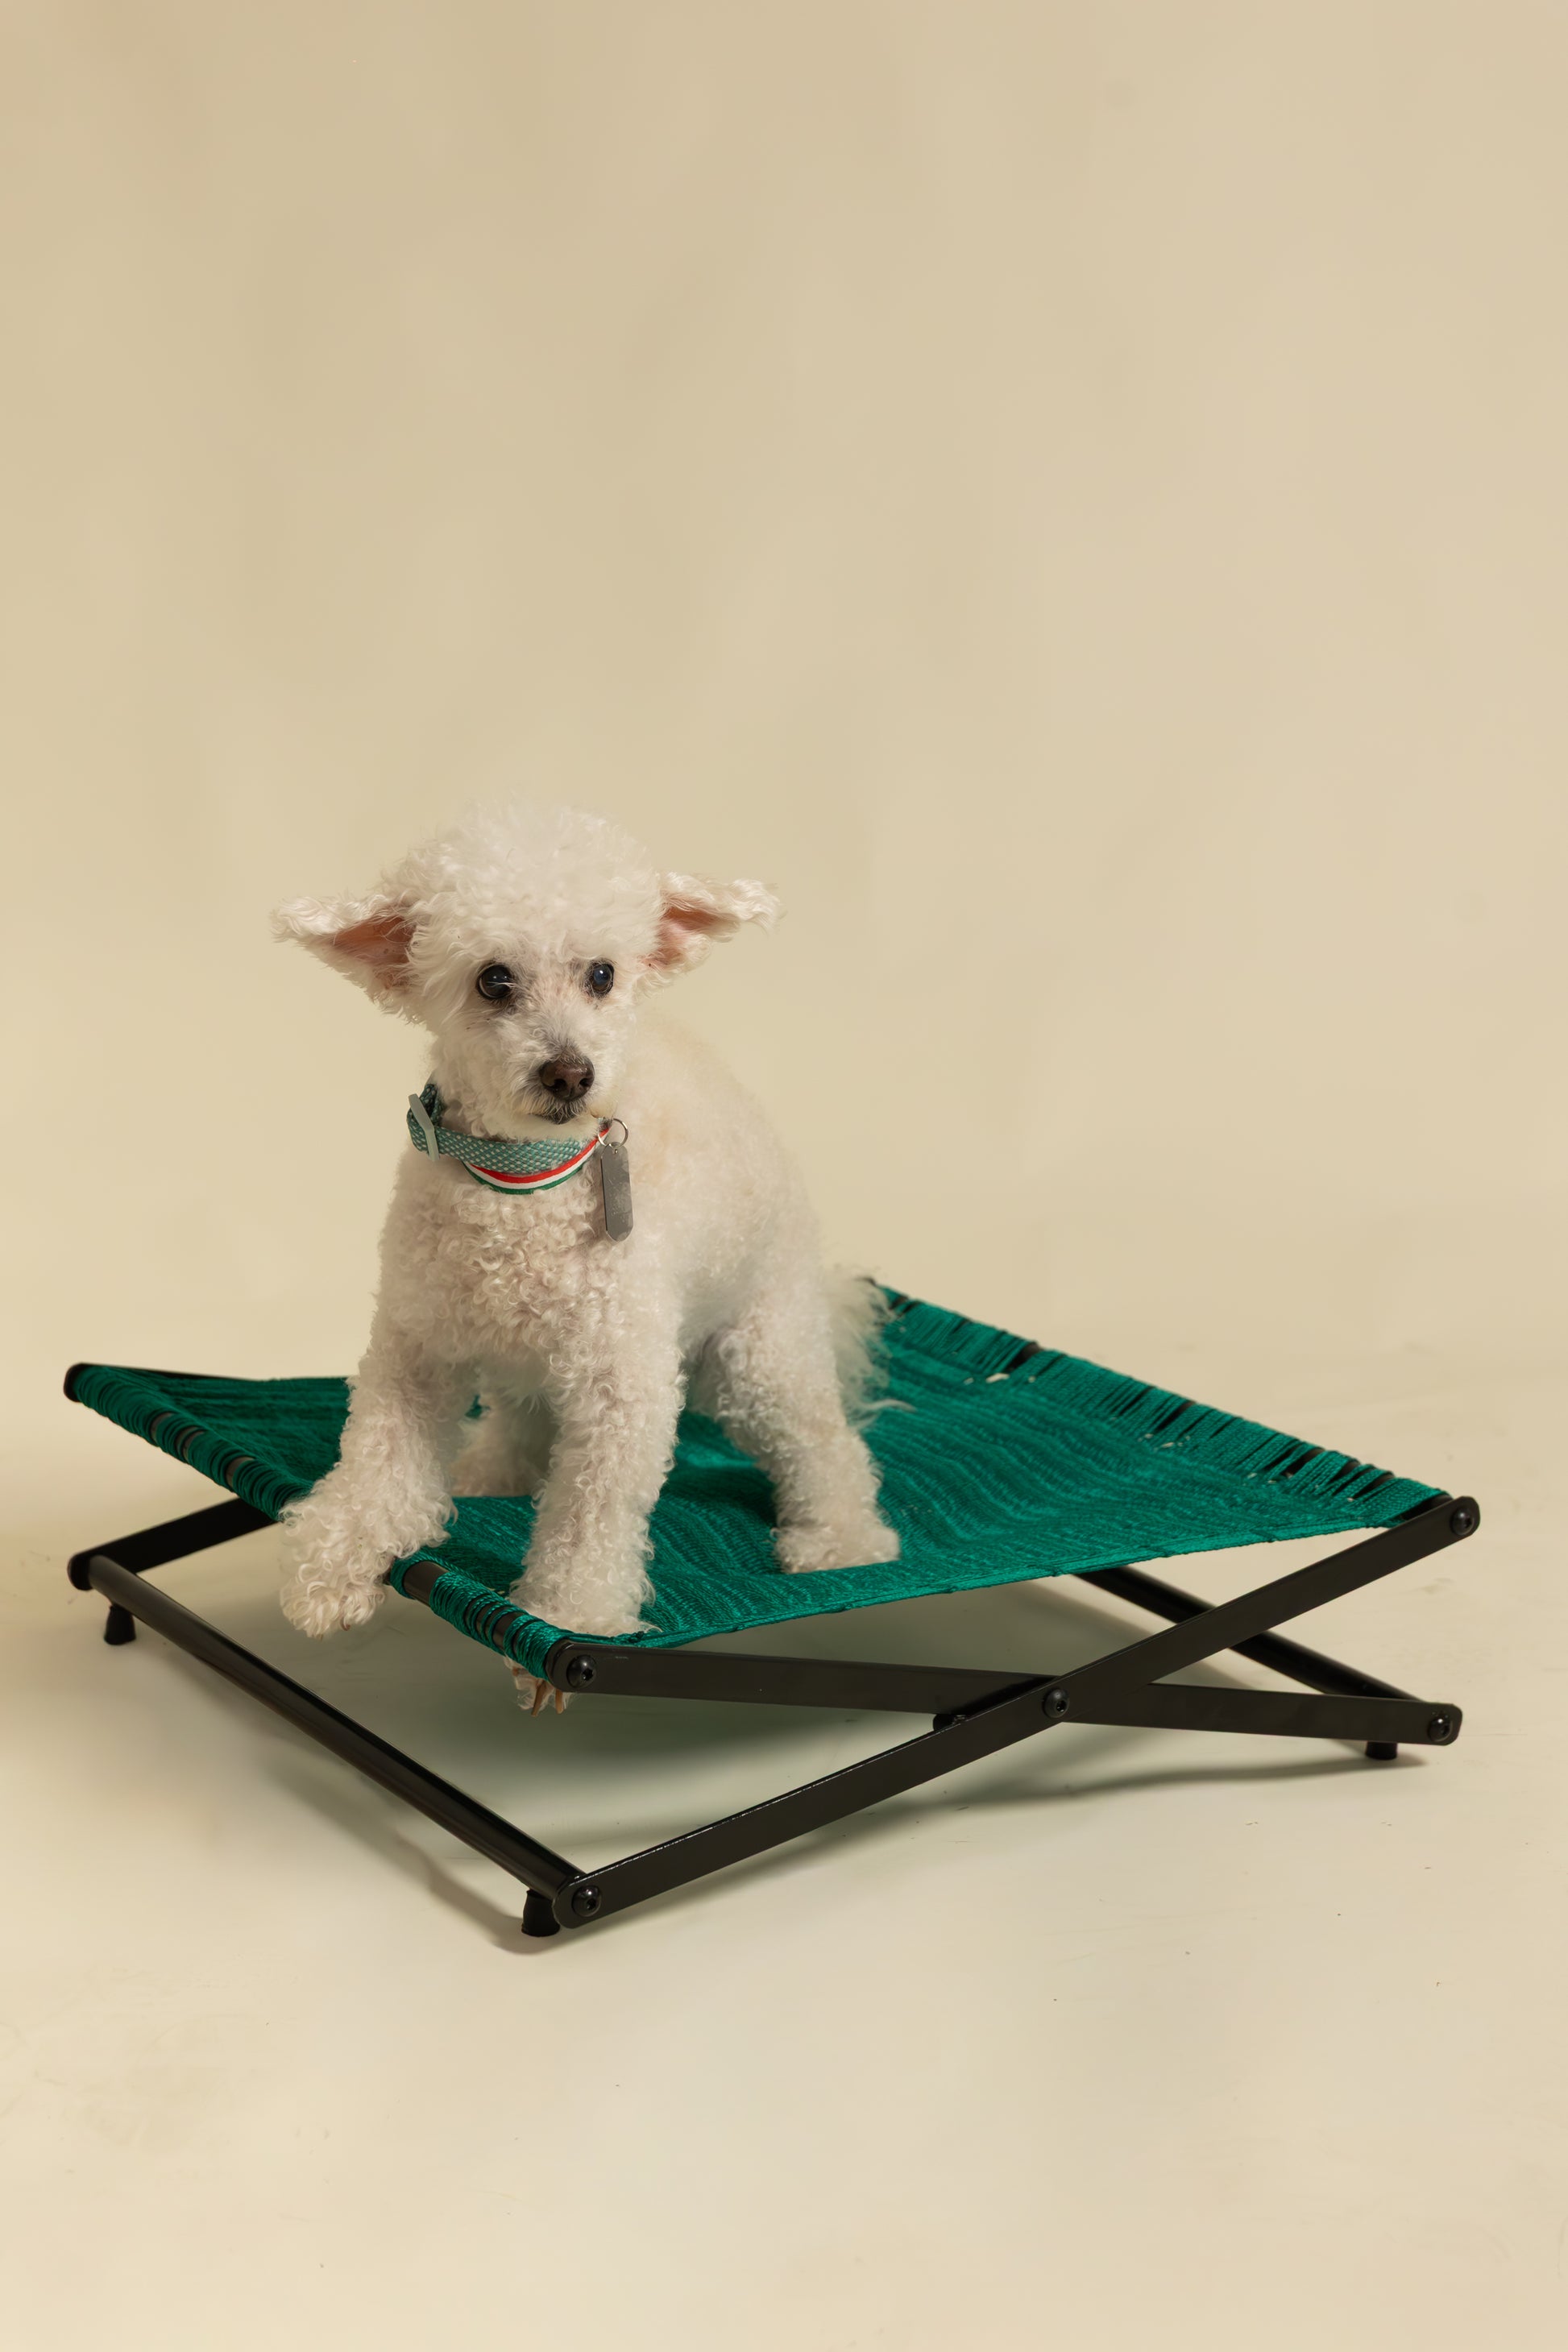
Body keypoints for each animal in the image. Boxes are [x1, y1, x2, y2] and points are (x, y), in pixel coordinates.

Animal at [272, 803, 899, 1708]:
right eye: (494, 980)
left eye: (602, 974)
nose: (569, 1072)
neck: (522, 1185)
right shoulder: (416, 1349)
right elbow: (379, 1463)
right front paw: (331, 1566)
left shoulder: (620, 1384)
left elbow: (590, 1517)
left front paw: (566, 1619)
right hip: (524, 1363)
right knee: (522, 1416)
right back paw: (494, 1465)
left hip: (754, 1358)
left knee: (825, 1441)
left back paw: (842, 1539)